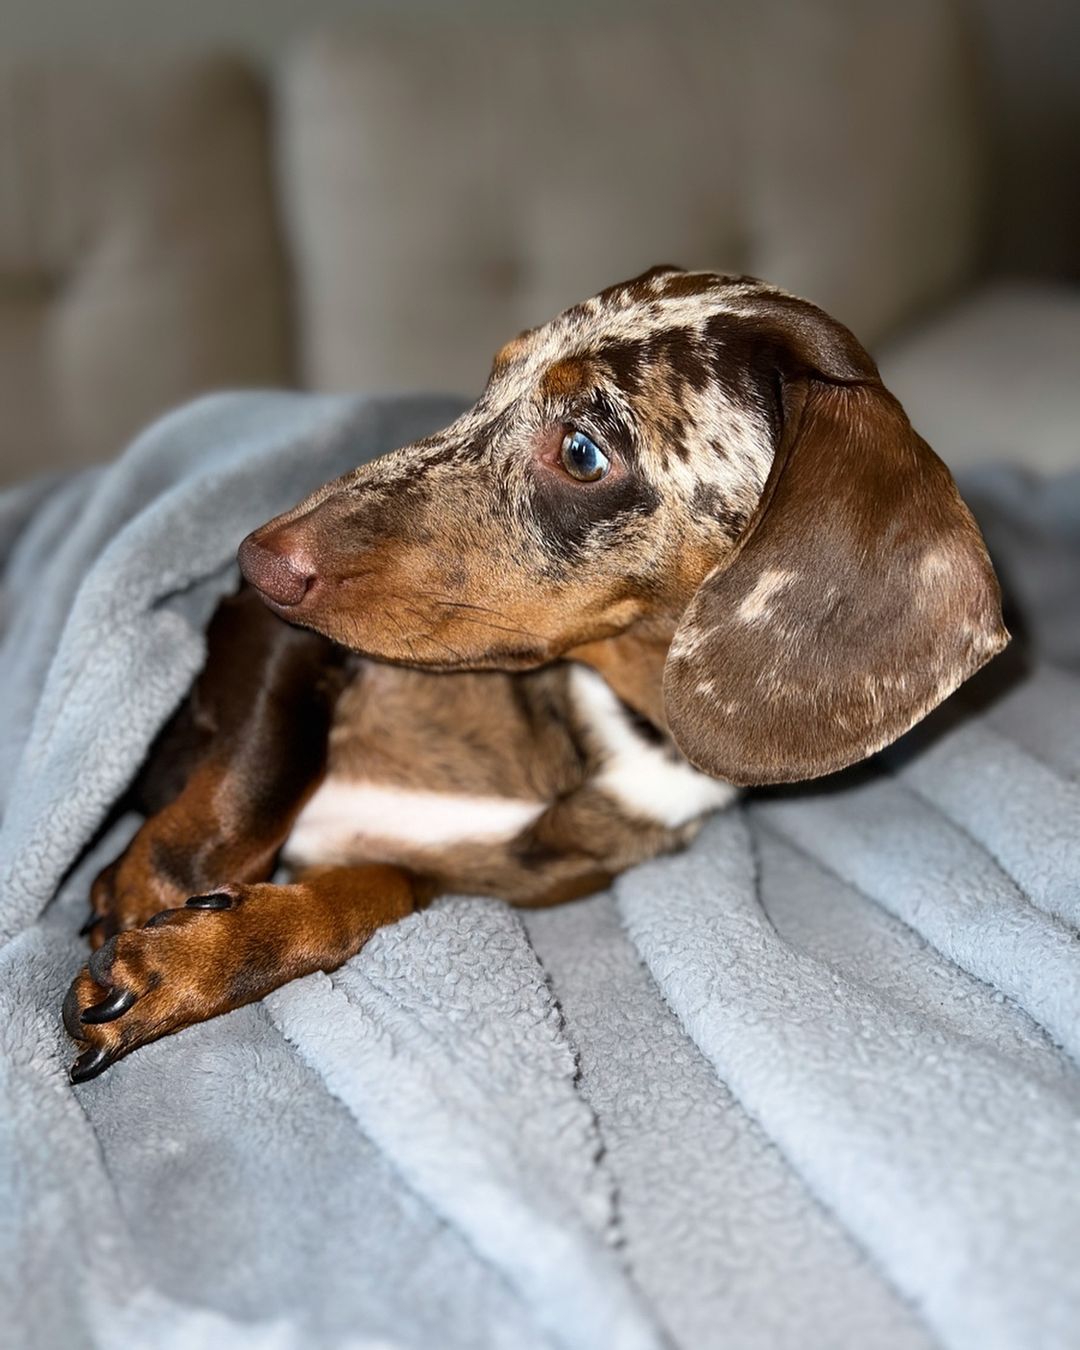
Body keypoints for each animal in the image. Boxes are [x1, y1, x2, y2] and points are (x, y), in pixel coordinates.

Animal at [65, 268, 1015, 1080]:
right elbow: (265, 760)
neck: (615, 719)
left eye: (584, 451)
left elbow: (369, 891)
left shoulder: (489, 874)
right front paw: (160, 891)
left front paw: (202, 955)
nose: (257, 560)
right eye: (492, 383)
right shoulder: (271, 638)